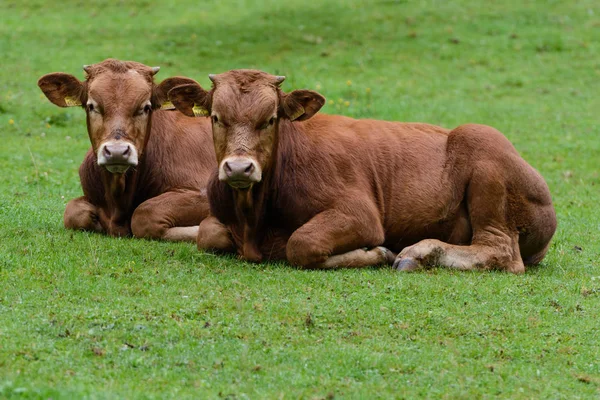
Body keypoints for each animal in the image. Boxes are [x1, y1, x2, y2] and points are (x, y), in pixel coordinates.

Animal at [166, 70, 556, 274]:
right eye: (217, 118)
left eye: (271, 119)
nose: (239, 167)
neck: (253, 224)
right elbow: (207, 234)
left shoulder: (360, 213)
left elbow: (301, 244)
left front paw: (378, 253)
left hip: (481, 147)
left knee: (501, 251)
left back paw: (418, 253)